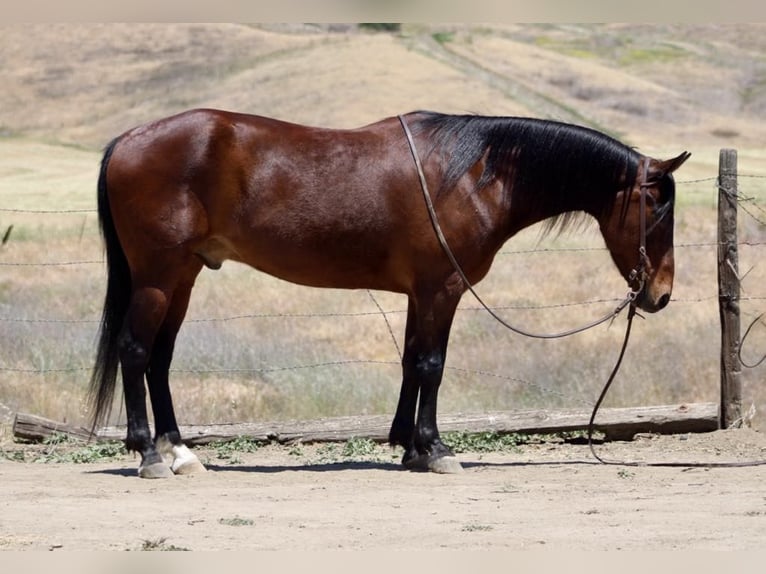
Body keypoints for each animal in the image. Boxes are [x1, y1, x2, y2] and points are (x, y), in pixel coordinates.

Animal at [88, 108, 690, 478]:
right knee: (136, 352)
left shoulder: (419, 293)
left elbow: (410, 362)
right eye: (656, 209)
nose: (659, 295)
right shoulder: (442, 289)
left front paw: (408, 445)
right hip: (157, 276)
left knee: (160, 359)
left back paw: (181, 451)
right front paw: (436, 448)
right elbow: (431, 365)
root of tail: (127, 140)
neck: (471, 174)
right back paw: (149, 454)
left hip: (182, 276)